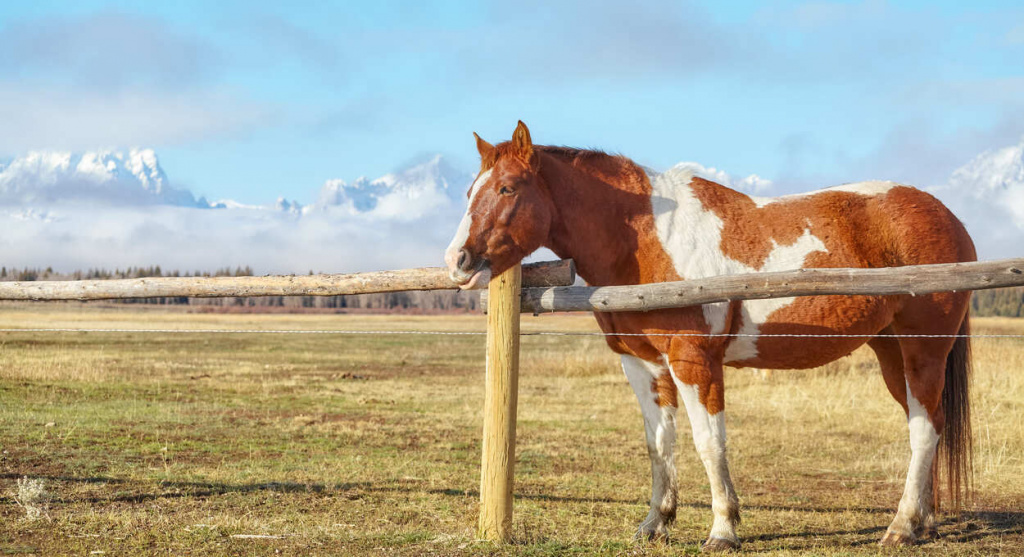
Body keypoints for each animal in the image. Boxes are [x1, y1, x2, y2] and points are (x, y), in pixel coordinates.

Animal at [444, 121, 974, 550]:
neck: (644, 240)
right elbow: (659, 444)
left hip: (923, 351)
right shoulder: (643, 363)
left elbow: (708, 443)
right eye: (471, 190)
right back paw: (923, 523)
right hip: (891, 353)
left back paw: (901, 527)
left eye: (508, 188)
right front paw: (655, 524)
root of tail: (948, 217)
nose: (457, 262)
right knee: (927, 424)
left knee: (924, 430)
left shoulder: (694, 361)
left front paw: (723, 530)